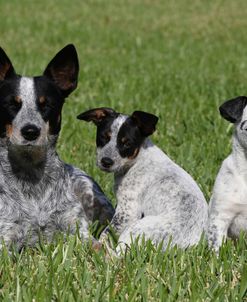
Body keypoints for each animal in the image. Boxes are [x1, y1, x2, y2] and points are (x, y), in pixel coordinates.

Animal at [77, 107, 208, 251]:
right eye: (103, 137)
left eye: (127, 143)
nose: (106, 161)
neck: (138, 158)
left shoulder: (128, 211)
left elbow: (107, 232)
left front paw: (99, 245)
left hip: (135, 230)